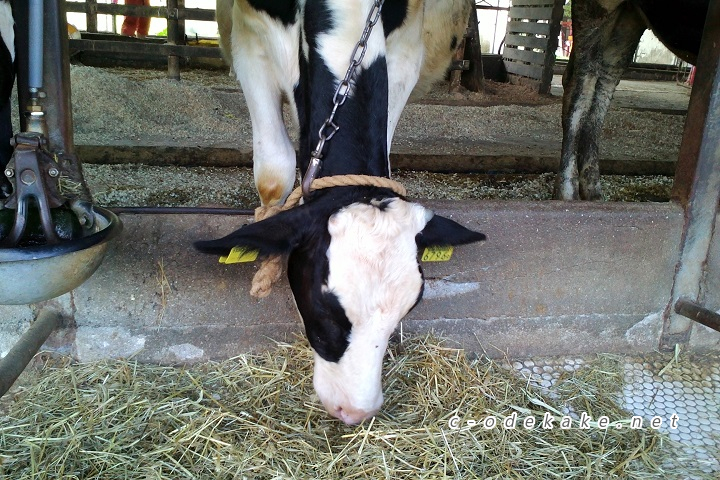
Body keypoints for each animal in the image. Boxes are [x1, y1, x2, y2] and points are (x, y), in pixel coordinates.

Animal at [195, 0, 484, 424]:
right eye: (323, 309)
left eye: (407, 309)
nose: (356, 411)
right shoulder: (252, 36)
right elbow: (275, 170)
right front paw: (267, 263)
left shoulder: (406, 46)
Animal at [556, 0, 708, 200]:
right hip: (599, 7)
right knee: (581, 85)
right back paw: (567, 194)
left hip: (628, 17)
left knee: (602, 84)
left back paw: (593, 193)